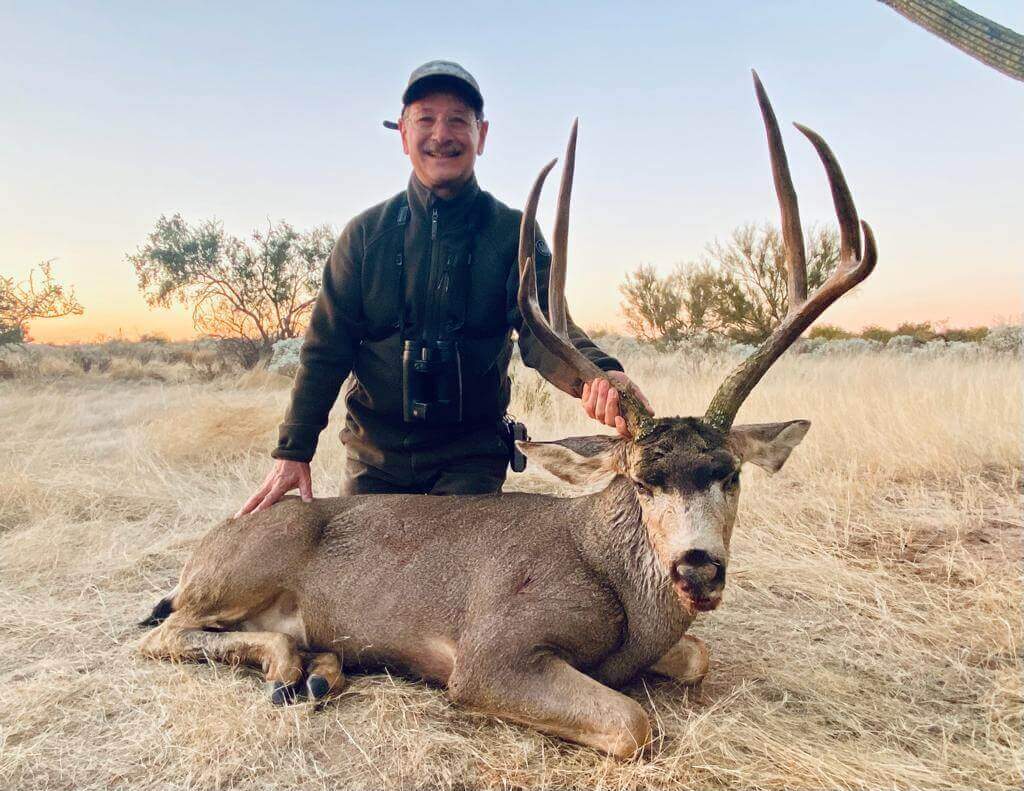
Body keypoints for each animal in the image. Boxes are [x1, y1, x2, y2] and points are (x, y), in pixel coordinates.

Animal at [137, 71, 877, 760]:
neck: (616, 583)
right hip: (242, 569)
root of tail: (209, 544)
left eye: (731, 474)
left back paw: (319, 670)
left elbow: (698, 654)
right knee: (161, 633)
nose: (698, 568)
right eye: (643, 482)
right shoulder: (490, 650)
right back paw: (289, 666)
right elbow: (634, 722)